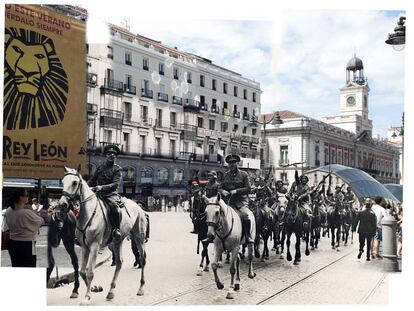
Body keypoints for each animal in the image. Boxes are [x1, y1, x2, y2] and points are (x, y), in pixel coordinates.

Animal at [59, 167, 146, 306]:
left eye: (74, 182)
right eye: (62, 181)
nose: (62, 204)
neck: (88, 214)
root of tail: (138, 206)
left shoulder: (94, 246)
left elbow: (90, 272)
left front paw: (87, 297)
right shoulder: (85, 247)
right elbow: (82, 271)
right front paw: (95, 288)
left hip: (139, 237)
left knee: (142, 259)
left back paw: (141, 288)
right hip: (117, 241)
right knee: (119, 263)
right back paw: (111, 292)